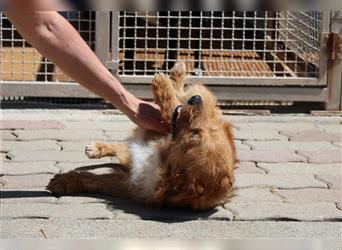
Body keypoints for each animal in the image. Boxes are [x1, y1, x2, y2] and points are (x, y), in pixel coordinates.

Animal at [46, 61, 236, 210]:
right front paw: (66, 181)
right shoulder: (164, 129)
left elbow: (98, 180)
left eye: (195, 134)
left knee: (124, 148)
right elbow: (172, 107)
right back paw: (177, 73)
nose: (196, 100)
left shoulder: (130, 183)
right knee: (179, 95)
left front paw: (65, 181)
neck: (162, 159)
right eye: (206, 130)